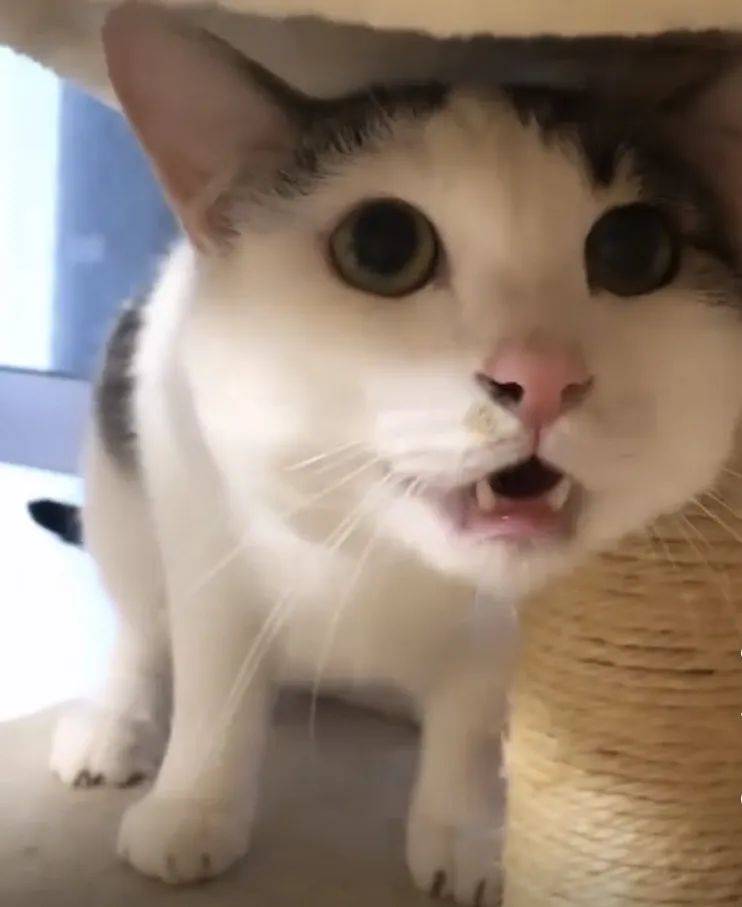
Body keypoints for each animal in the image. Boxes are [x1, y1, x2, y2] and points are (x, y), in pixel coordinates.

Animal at [48, 4, 742, 904]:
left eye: (634, 250)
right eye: (381, 246)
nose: (543, 376)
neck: (380, 560)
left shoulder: (499, 635)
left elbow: (468, 726)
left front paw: (469, 833)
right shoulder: (200, 527)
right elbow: (214, 685)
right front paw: (193, 807)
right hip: (119, 498)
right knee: (137, 624)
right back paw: (113, 726)